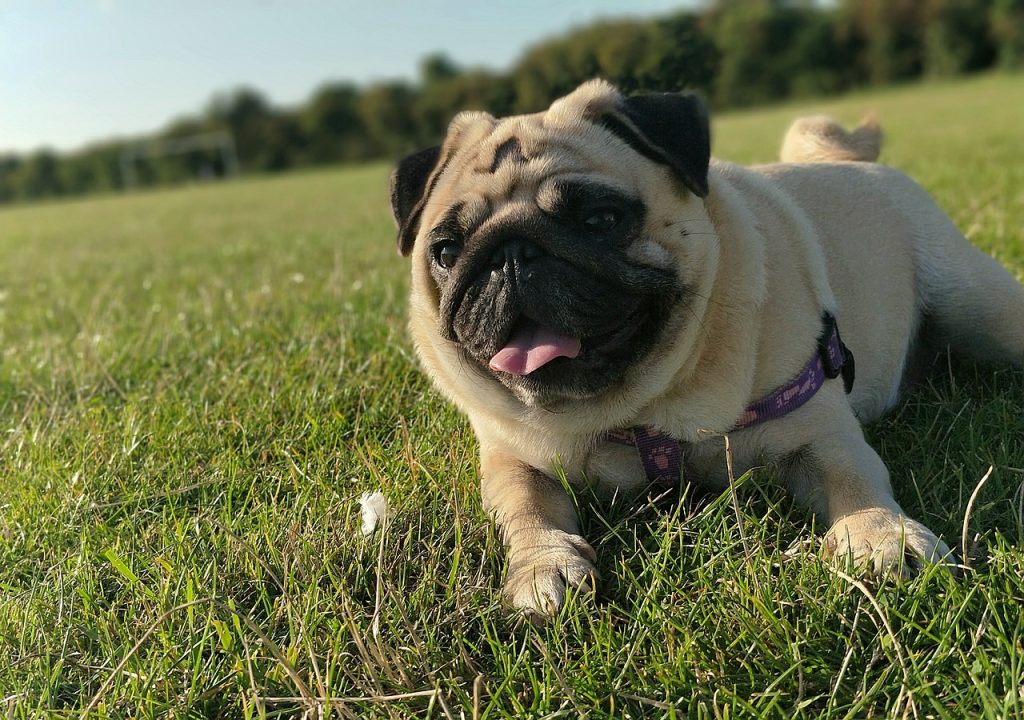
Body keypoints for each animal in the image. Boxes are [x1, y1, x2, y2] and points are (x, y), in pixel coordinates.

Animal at [385, 78, 1024, 618]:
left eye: (600, 219)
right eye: (446, 251)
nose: (512, 255)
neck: (640, 409)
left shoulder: (818, 429)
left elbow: (853, 478)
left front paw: (880, 536)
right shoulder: (511, 457)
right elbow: (526, 508)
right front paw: (543, 567)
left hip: (981, 306)